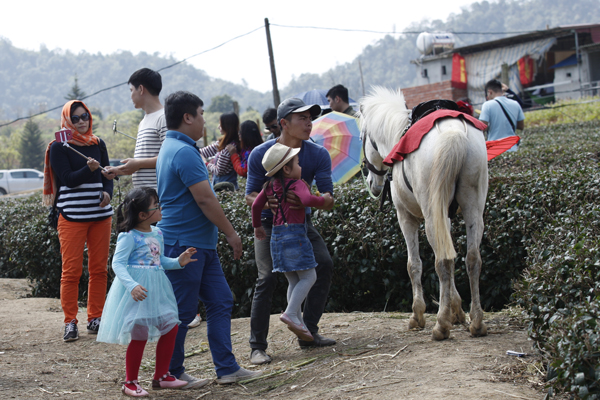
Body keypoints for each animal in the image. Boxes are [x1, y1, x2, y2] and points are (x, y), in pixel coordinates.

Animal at [358, 86, 490, 340]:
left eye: (362, 138)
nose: (371, 183)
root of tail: (453, 135)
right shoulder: (444, 216)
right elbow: (452, 256)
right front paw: (457, 309)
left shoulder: (406, 217)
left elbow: (414, 265)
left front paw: (419, 314)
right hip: (472, 209)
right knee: (472, 259)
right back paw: (476, 321)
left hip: (429, 215)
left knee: (443, 262)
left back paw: (441, 325)